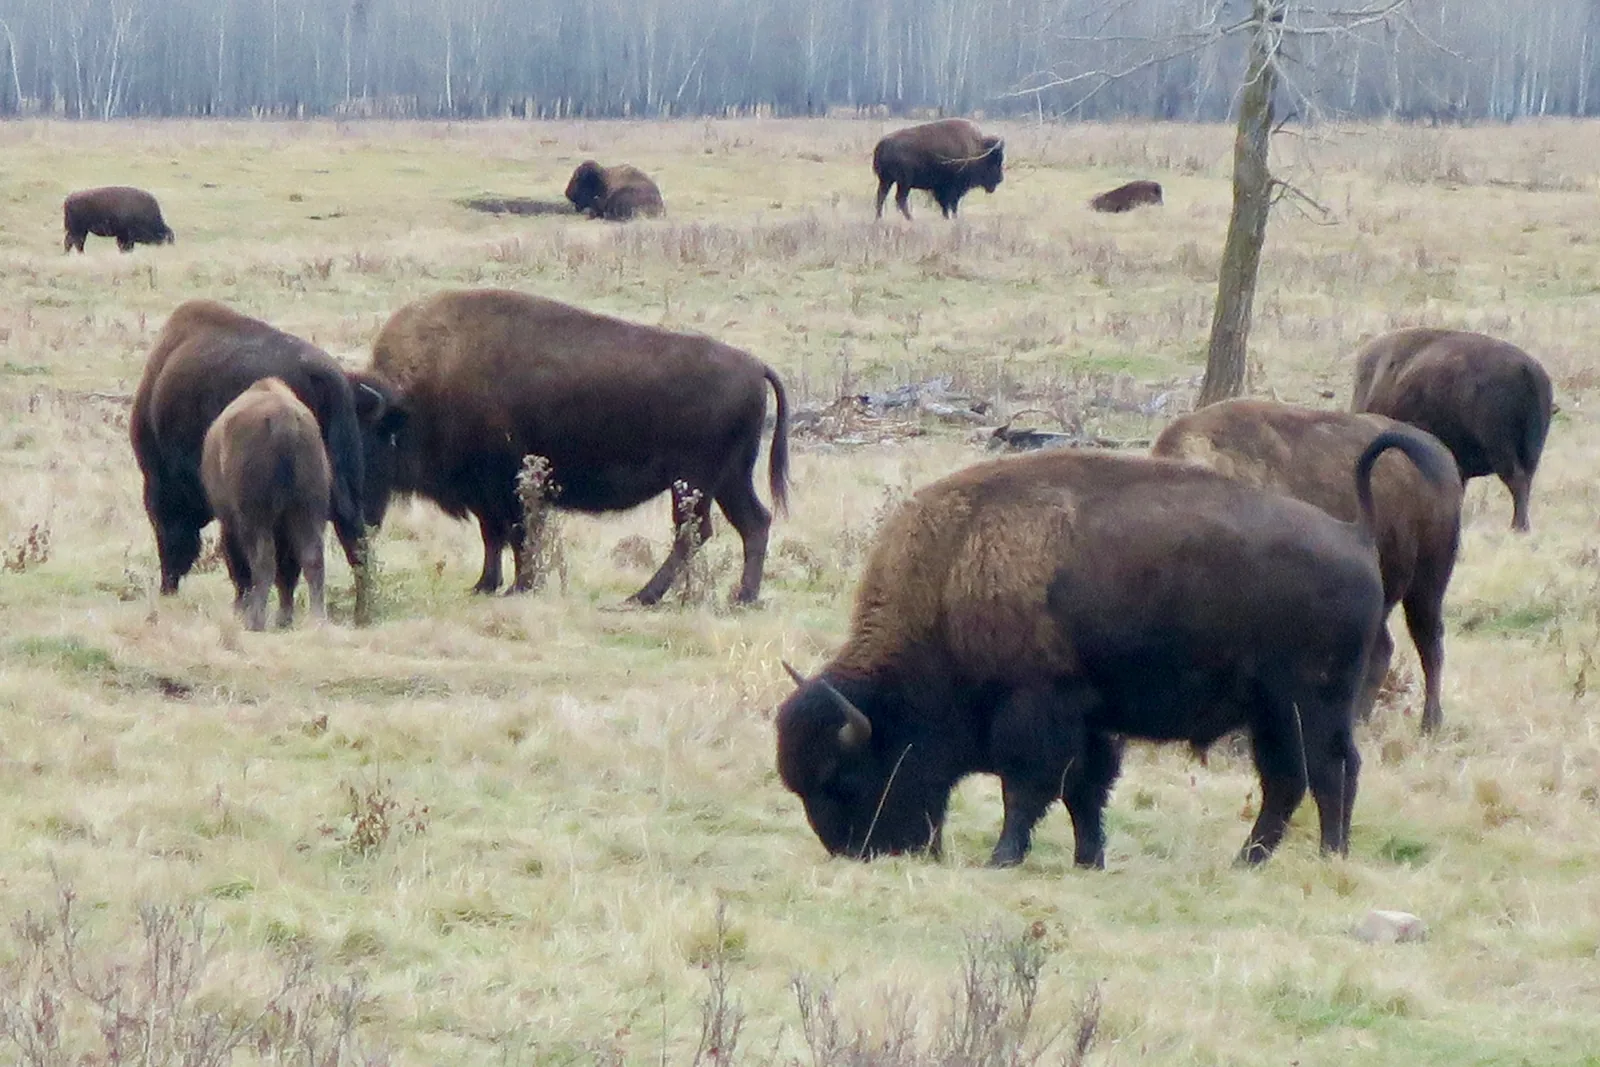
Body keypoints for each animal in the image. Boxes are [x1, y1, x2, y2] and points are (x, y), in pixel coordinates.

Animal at [200, 378, 331, 631]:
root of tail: (284, 419)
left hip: (255, 517)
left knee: (263, 562)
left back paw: (256, 620)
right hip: (307, 510)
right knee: (312, 558)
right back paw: (316, 619)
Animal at [361, 288, 790, 605]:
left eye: (365, 435)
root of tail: (755, 366)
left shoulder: (507, 488)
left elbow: (516, 535)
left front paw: (519, 586)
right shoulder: (485, 494)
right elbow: (493, 536)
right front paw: (484, 585)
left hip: (693, 482)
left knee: (694, 533)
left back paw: (643, 597)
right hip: (729, 480)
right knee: (753, 522)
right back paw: (742, 597)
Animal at [776, 433, 1453, 870]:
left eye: (845, 776)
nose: (854, 851)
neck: (951, 578)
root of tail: (1354, 533)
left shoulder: (1037, 712)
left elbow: (1029, 787)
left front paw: (1002, 858)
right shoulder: (1091, 721)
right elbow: (1085, 790)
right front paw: (1089, 858)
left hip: (1310, 706)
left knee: (1333, 771)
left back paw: (1327, 856)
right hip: (1271, 715)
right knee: (1288, 781)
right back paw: (1248, 861)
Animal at [871, 118, 1004, 221]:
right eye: (995, 161)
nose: (1000, 179)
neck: (976, 149)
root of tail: (882, 143)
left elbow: (947, 204)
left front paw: (948, 217)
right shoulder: (952, 187)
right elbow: (952, 203)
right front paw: (953, 217)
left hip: (887, 180)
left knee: (882, 196)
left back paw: (880, 218)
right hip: (903, 183)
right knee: (900, 198)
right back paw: (910, 219)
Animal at [1153, 400, 1463, 734]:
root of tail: (1444, 456)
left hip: (1427, 584)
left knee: (1429, 644)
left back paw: (1429, 724)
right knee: (1384, 650)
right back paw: (1360, 719)